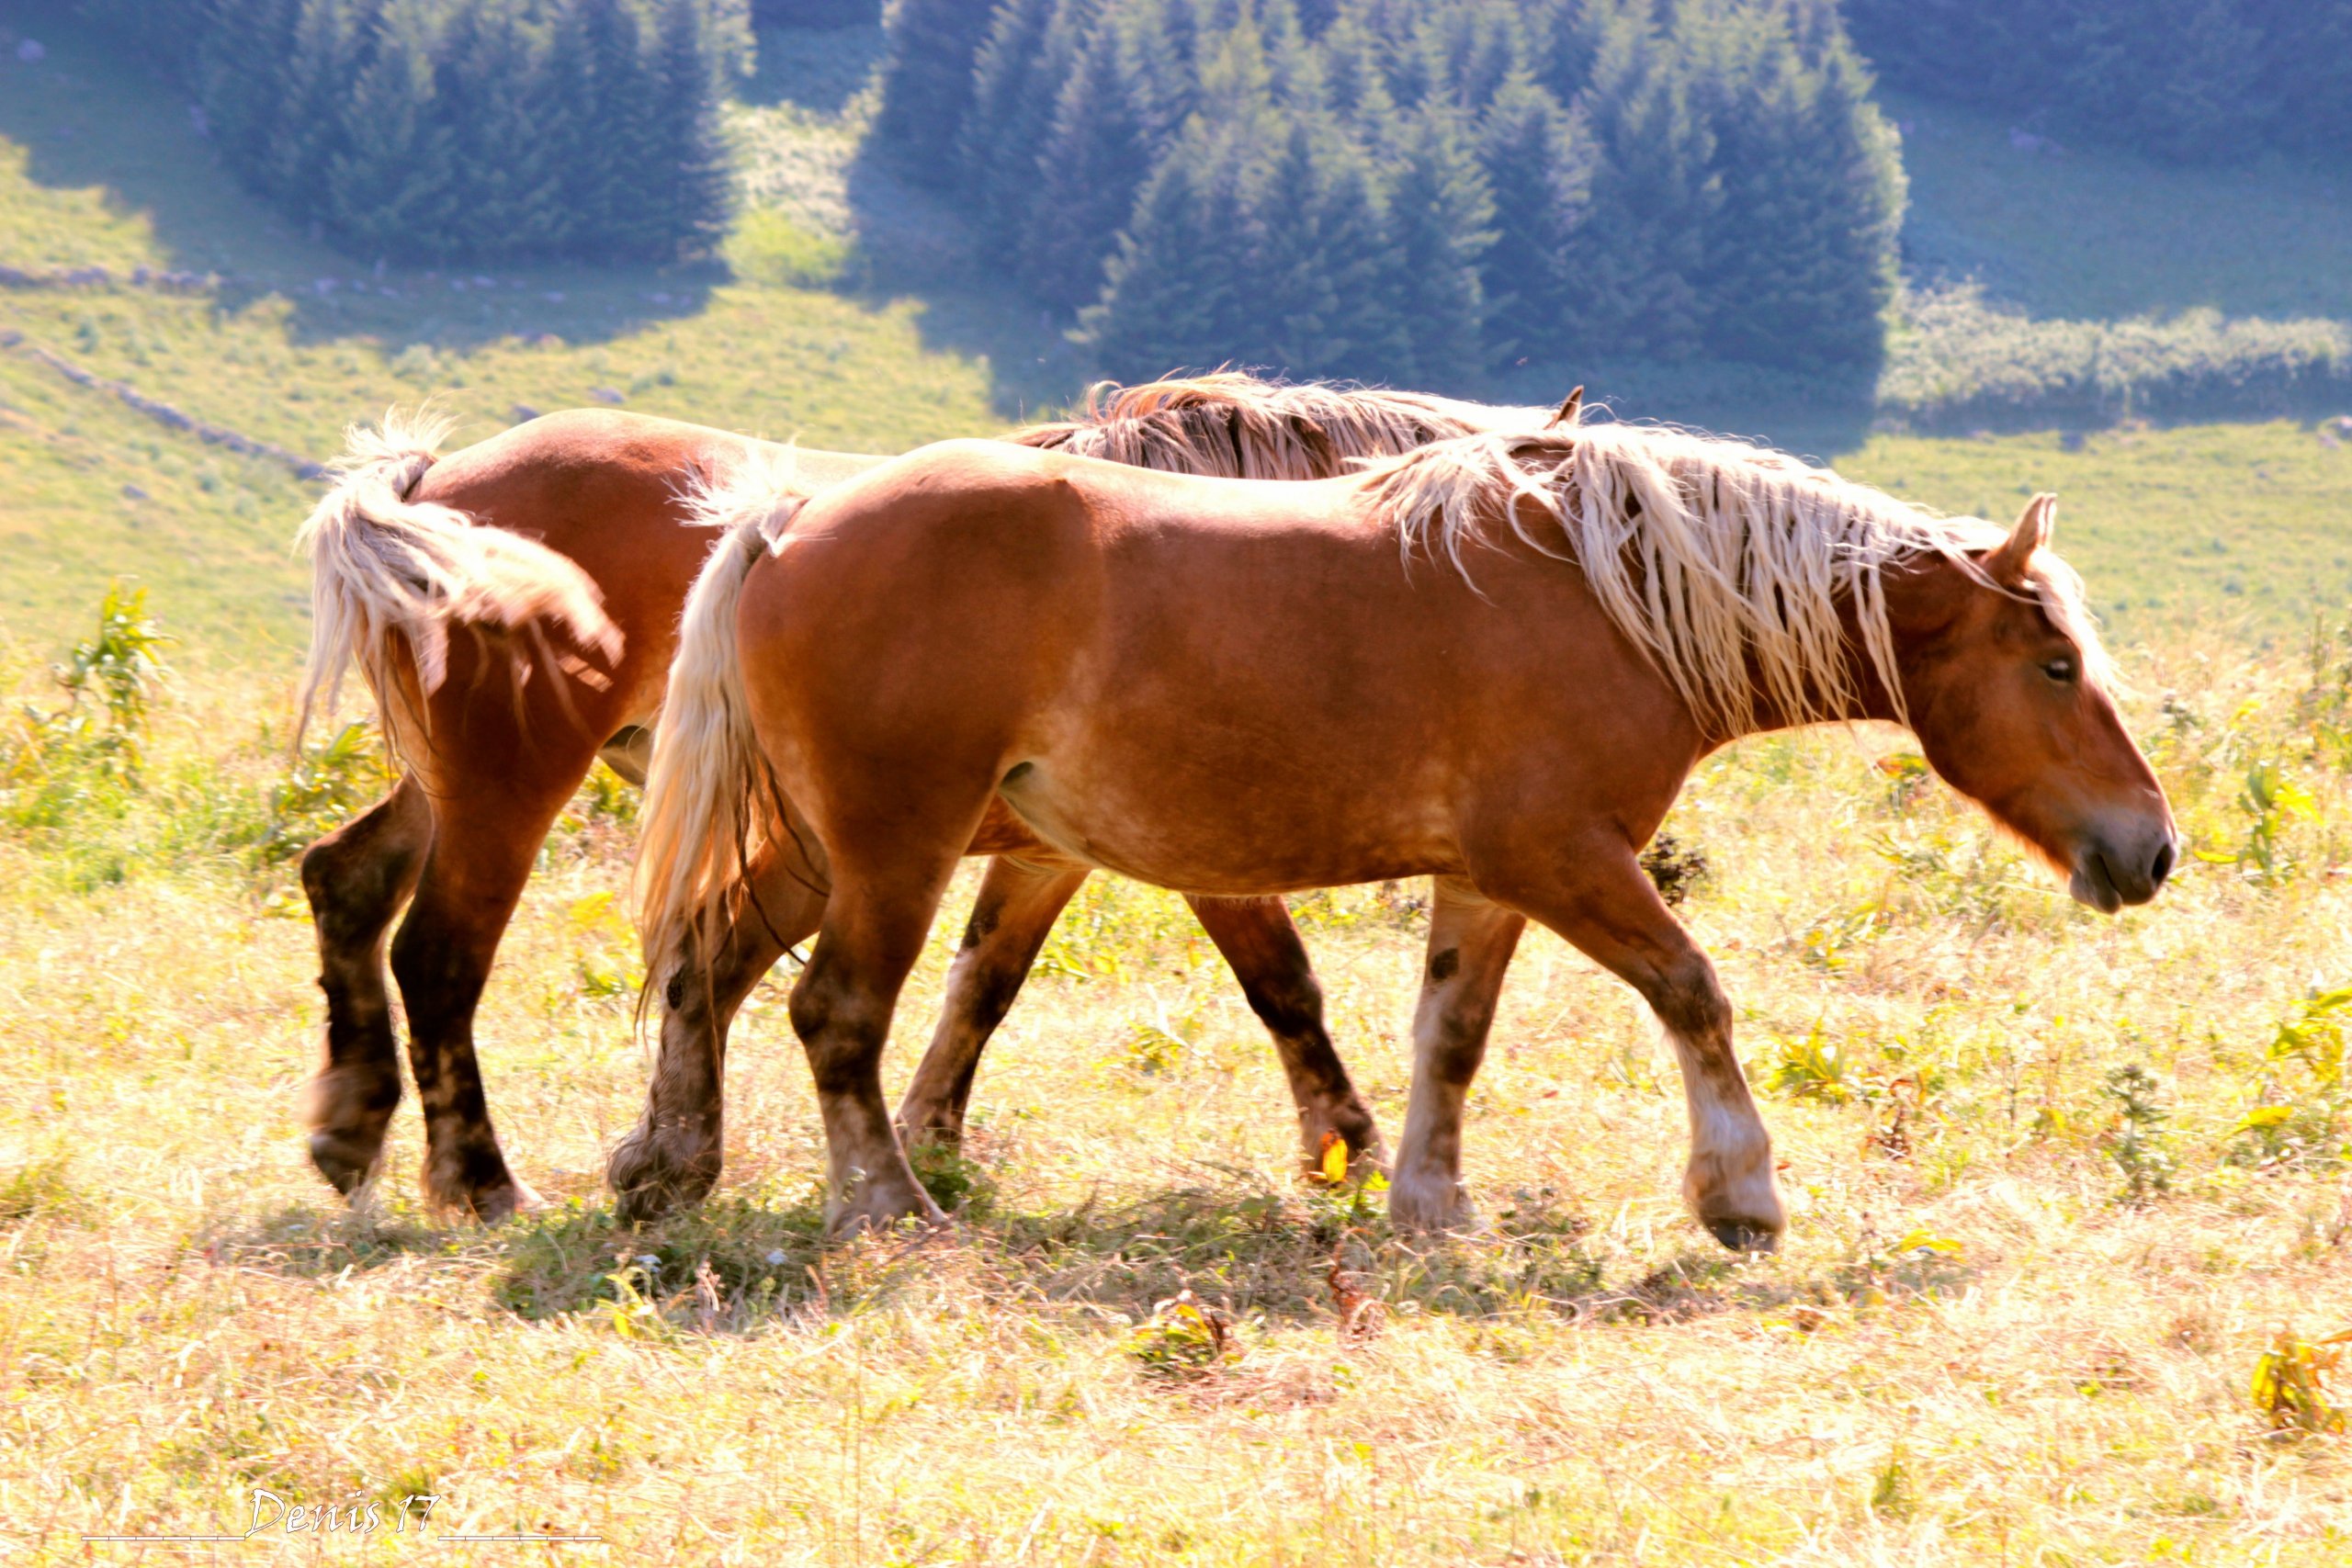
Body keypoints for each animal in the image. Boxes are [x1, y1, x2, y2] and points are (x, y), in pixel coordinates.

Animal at [294, 373, 1571, 1222]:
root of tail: (435, 482)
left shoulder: (1043, 853)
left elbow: (978, 988)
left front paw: (910, 1142)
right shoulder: (1194, 851)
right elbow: (1284, 987)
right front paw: (1346, 1148)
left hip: (449, 786)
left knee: (344, 880)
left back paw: (351, 1130)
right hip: (509, 788)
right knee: (440, 960)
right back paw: (478, 1183)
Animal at [635, 421, 2173, 1250]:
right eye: (2054, 664)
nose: (2151, 847)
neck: (1611, 596)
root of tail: (789, 519)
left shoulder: (1491, 878)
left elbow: (1451, 1032)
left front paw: (1429, 1199)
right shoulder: (1566, 857)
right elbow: (1693, 989)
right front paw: (1740, 1192)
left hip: (826, 846)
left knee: (707, 966)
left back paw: (665, 1167)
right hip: (894, 846)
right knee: (834, 1012)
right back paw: (887, 1205)